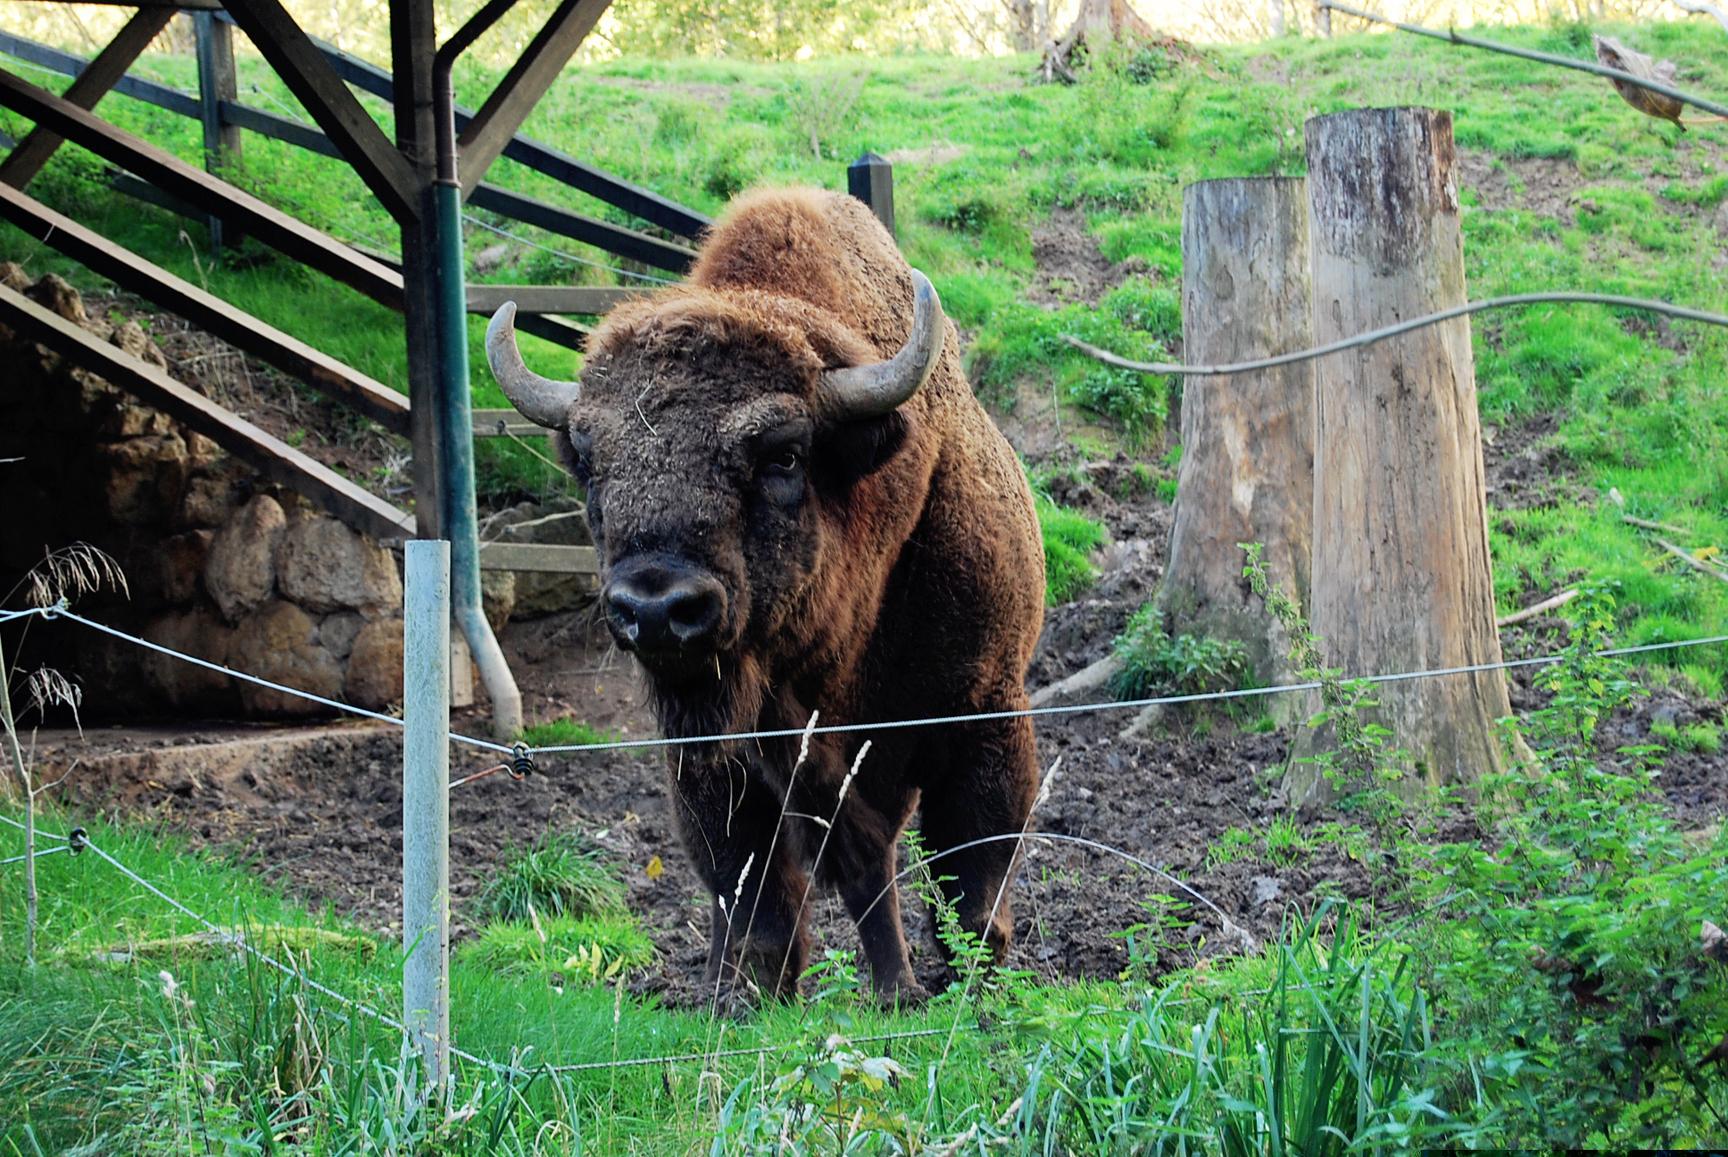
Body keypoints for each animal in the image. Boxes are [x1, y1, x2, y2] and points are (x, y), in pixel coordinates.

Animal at [485, 187, 1044, 1003]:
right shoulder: (721, 758)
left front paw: (950, 989)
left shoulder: (986, 713)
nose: (657, 609)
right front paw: (748, 998)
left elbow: (971, 885)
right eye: (587, 461)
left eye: (783, 453)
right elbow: (756, 891)